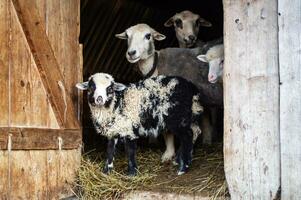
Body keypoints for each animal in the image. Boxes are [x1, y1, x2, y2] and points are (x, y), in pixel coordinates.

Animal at [76, 72, 204, 175]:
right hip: (189, 117)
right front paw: (106, 171)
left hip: (179, 118)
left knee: (188, 136)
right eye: (91, 87)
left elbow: (130, 151)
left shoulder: (129, 130)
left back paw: (183, 167)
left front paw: (132, 173)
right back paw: (180, 160)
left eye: (110, 88)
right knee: (195, 132)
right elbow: (110, 150)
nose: (99, 99)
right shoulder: (114, 131)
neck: (117, 104)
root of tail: (191, 87)